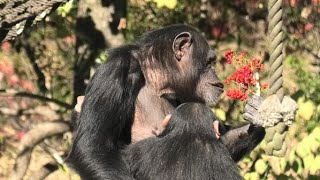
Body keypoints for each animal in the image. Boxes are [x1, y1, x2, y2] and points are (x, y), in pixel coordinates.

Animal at [67, 24, 264, 179]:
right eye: (209, 62)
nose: (216, 73)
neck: (157, 77)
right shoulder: (116, 68)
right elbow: (94, 147)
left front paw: (257, 115)